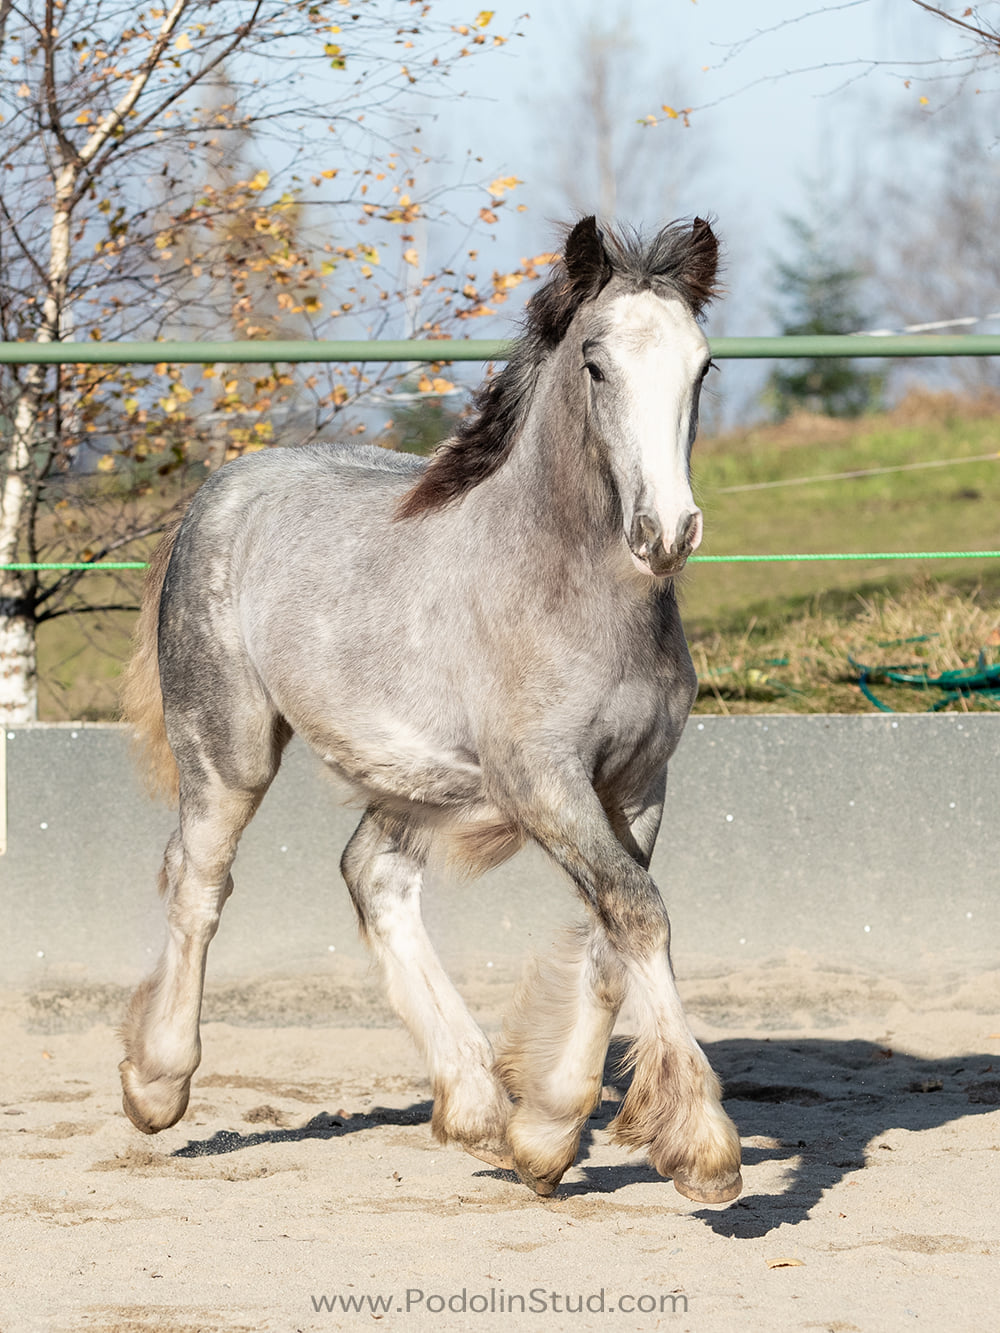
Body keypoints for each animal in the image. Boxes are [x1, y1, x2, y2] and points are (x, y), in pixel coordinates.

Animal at [119, 213, 746, 1205]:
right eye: (596, 364)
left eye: (704, 366)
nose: (667, 533)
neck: (577, 595)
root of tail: (217, 492)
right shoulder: (542, 781)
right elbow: (636, 912)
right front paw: (704, 1150)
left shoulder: (638, 781)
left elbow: (615, 931)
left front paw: (545, 1135)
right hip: (229, 748)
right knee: (200, 876)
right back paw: (156, 1084)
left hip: (415, 773)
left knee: (371, 872)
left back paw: (477, 1103)